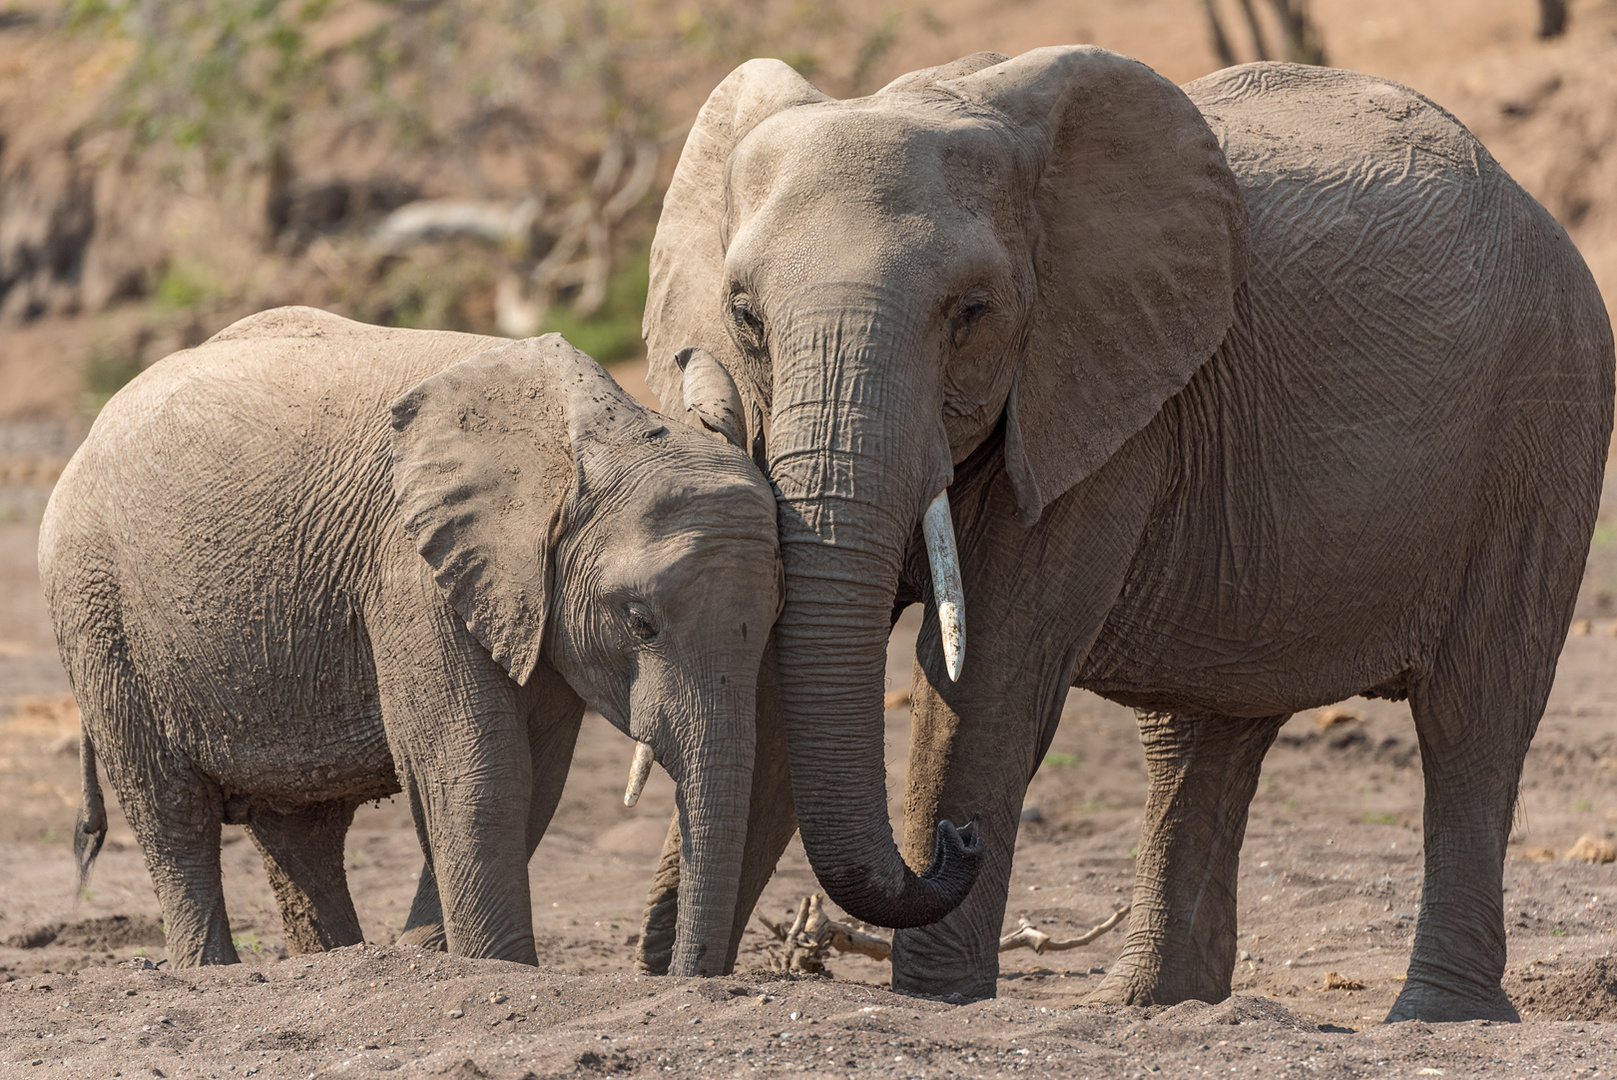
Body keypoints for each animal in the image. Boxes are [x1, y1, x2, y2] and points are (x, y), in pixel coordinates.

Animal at [41, 307, 779, 976]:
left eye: (773, 622)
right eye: (638, 620)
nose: (682, 975)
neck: (598, 434)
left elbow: (536, 781)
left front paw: (427, 952)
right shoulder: (411, 573)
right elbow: (478, 774)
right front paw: (499, 966)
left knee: (300, 831)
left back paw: (333, 959)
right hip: (97, 612)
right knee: (171, 813)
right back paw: (211, 971)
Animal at [637, 48, 1610, 1021]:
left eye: (973, 311)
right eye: (743, 315)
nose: (958, 841)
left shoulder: (1096, 404)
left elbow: (989, 677)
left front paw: (939, 1001)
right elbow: (767, 666)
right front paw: (684, 975)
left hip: (1542, 424)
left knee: (1473, 718)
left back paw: (1436, 1015)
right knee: (1198, 735)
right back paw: (1154, 1003)